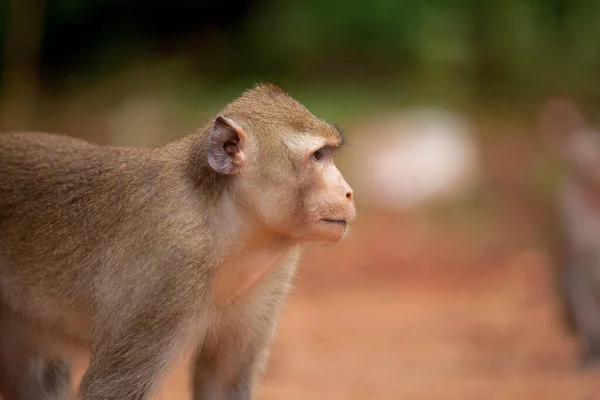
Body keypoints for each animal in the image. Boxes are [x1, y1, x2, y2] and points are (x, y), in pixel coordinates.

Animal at [0, 82, 356, 400]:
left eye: (327, 154)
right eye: (318, 156)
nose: (349, 192)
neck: (223, 220)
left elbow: (223, 384)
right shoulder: (168, 265)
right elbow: (110, 388)